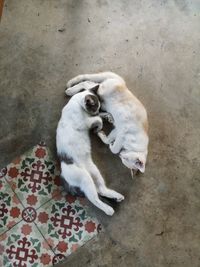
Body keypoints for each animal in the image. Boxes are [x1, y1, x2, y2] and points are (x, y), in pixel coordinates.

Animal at [56, 89, 124, 217]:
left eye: (98, 108)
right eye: (94, 107)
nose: (97, 111)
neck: (77, 103)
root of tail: (62, 174)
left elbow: (99, 117)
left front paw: (108, 116)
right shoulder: (83, 122)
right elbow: (98, 120)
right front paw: (99, 125)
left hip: (94, 172)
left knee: (101, 190)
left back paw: (117, 196)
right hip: (85, 178)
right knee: (94, 199)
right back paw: (108, 210)